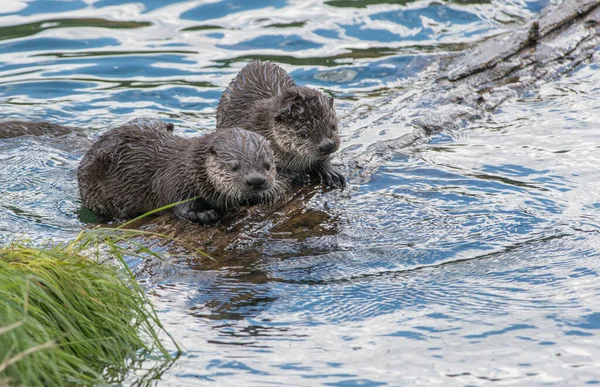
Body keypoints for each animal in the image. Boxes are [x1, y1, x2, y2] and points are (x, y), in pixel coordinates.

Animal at [77, 119, 284, 227]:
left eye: (268, 165)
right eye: (234, 166)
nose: (256, 180)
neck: (192, 169)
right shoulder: (175, 182)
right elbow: (180, 207)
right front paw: (204, 214)